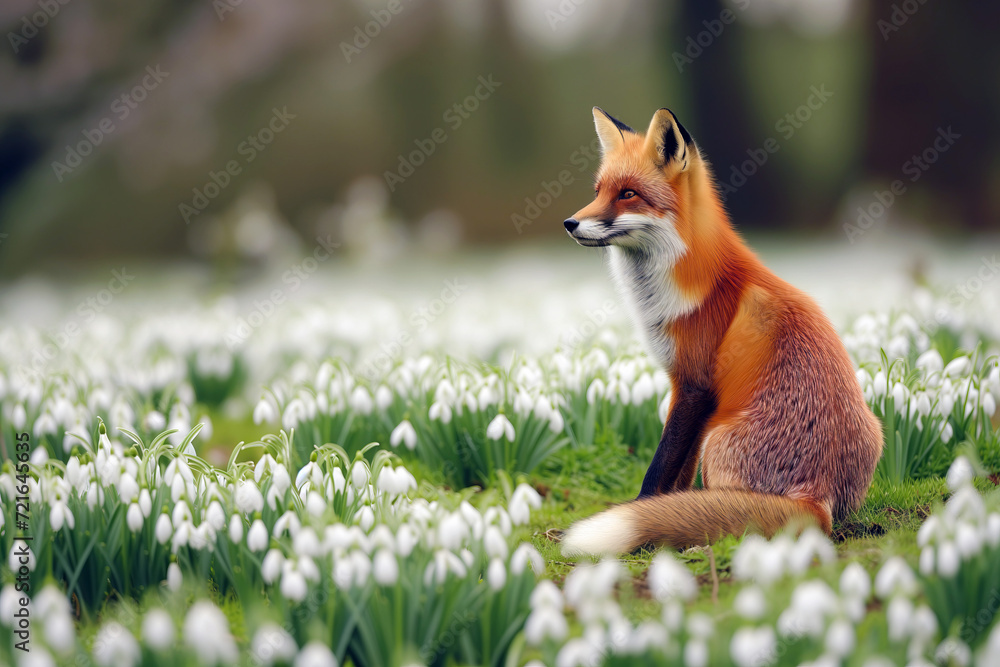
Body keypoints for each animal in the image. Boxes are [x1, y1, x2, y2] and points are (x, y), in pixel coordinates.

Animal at [560, 107, 883, 556]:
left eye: (628, 194)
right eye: (598, 190)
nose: (570, 223)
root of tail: (817, 498)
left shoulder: (693, 383)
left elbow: (661, 465)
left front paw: (646, 510)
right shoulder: (700, 396)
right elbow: (678, 474)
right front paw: (669, 513)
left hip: (718, 439)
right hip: (871, 430)